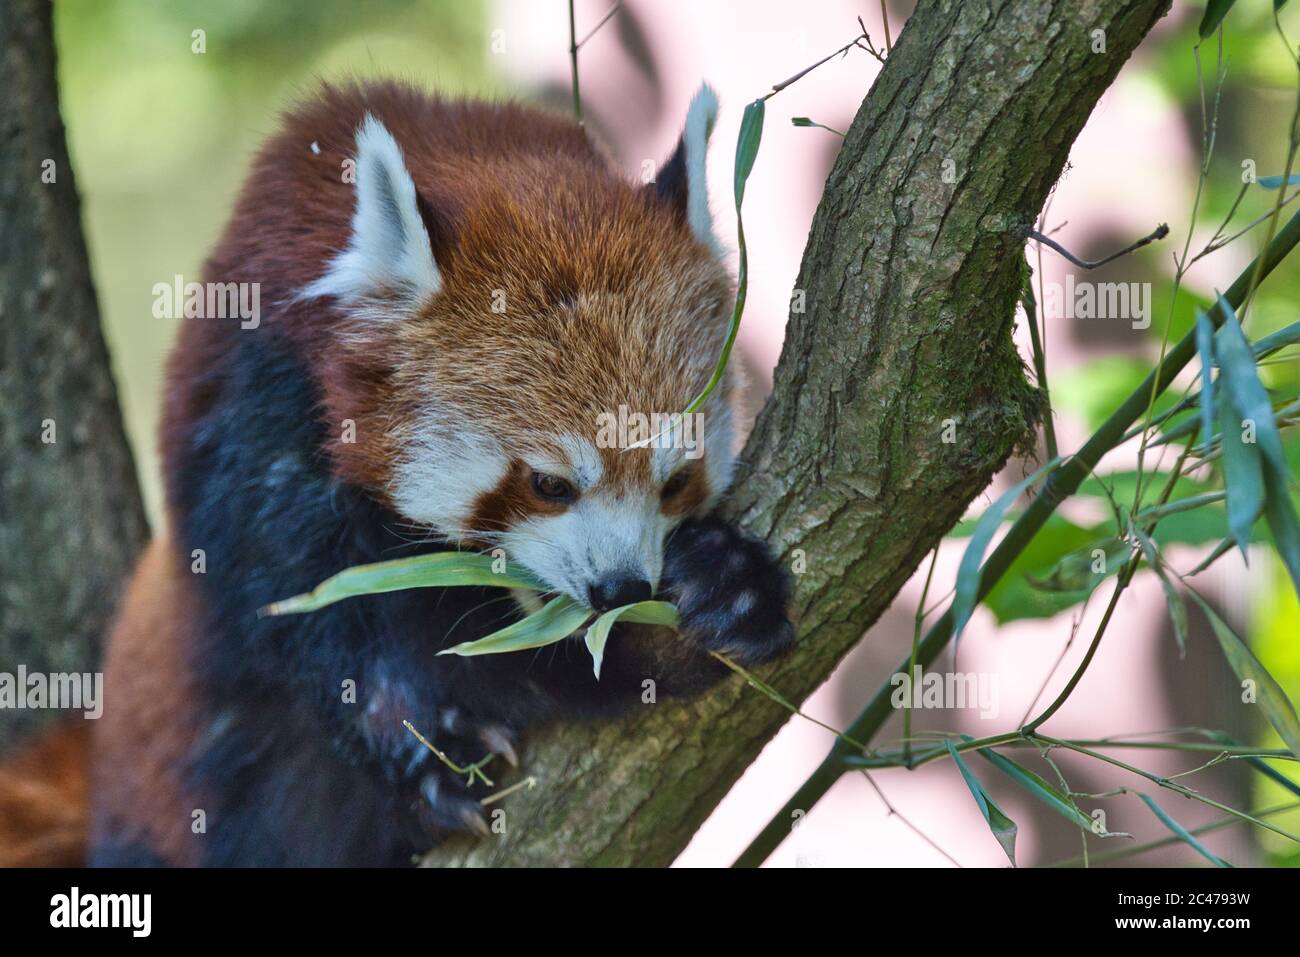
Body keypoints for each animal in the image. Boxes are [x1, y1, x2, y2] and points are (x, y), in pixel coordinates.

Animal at [5, 78, 795, 863]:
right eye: (548, 484)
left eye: (675, 481)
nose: (621, 589)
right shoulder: (252, 413)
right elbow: (318, 621)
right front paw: (430, 755)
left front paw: (724, 580)